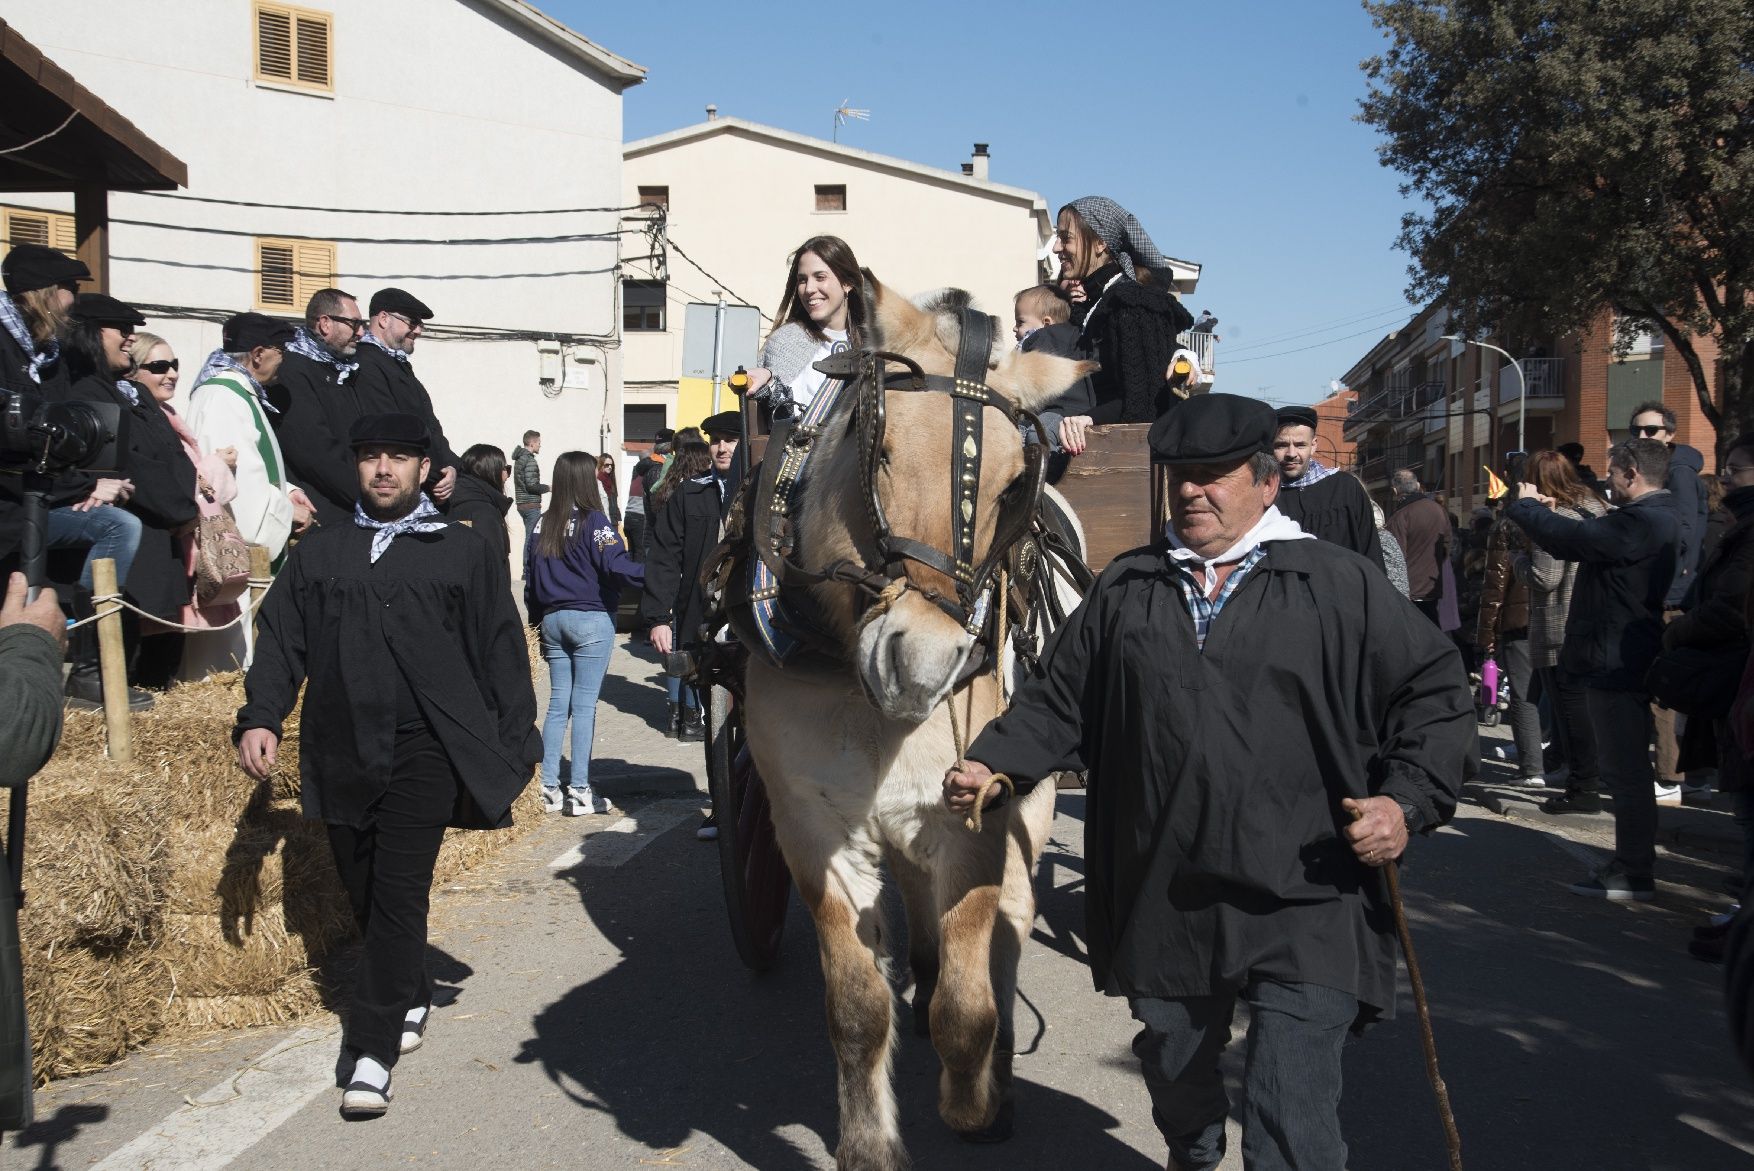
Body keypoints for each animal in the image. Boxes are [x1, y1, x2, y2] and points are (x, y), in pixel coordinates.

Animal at [743, 283, 1094, 1171]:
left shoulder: (975, 811)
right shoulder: (812, 828)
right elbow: (858, 1006)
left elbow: (968, 1004)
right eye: (880, 447)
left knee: (1007, 932)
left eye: (1011, 485)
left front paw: (979, 1101)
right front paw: (869, 1145)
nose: (921, 663)